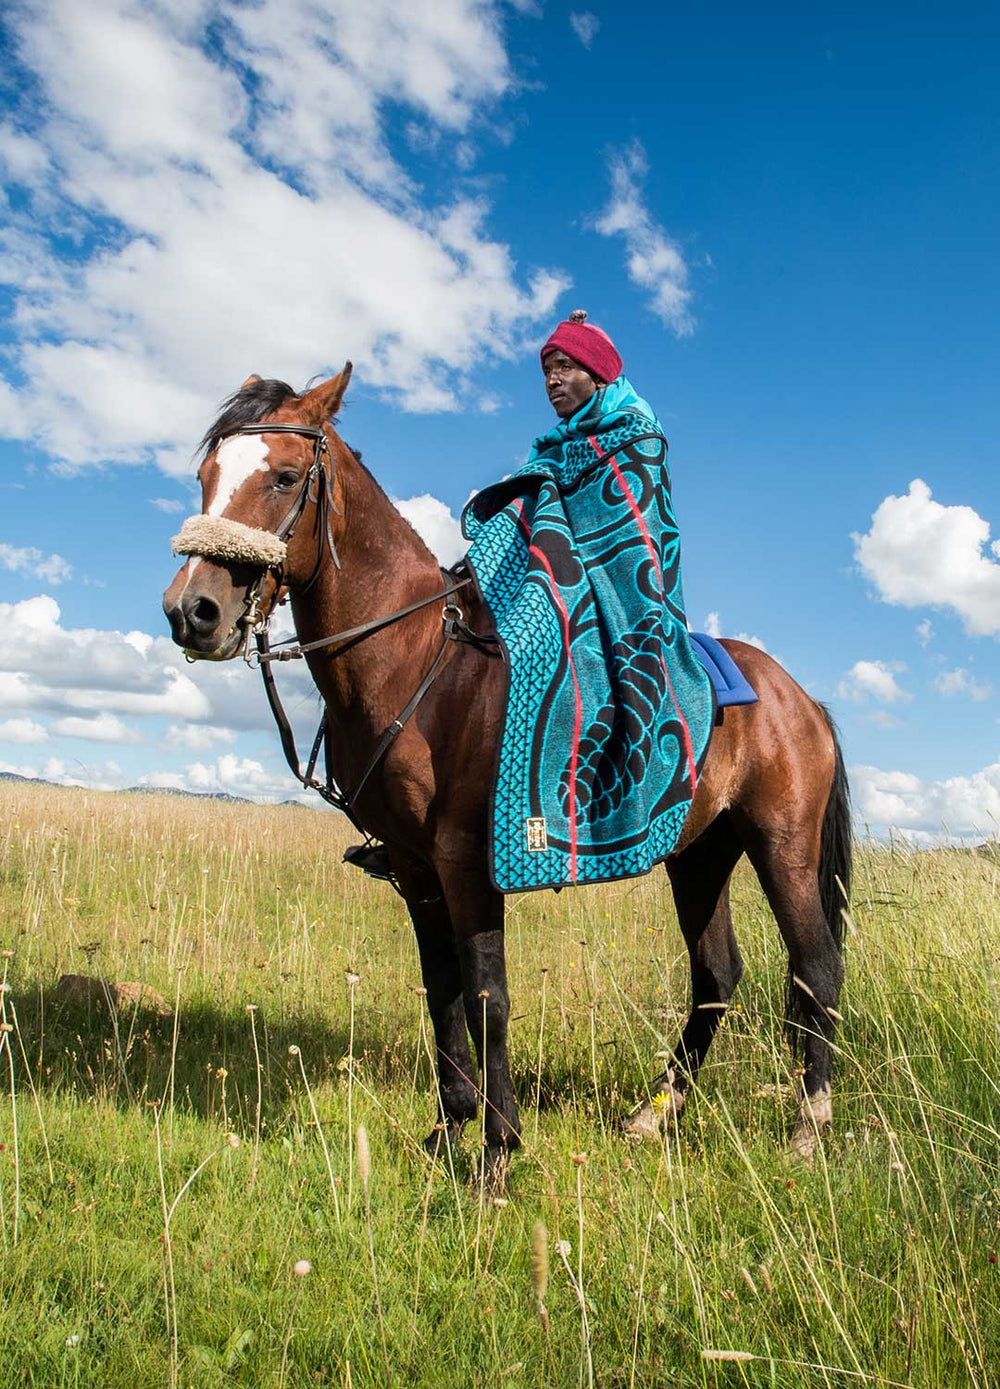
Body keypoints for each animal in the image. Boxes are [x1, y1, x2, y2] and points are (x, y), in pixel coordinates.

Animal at [163, 363, 849, 1177]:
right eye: (205, 476)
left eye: (286, 476)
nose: (192, 611)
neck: (417, 660)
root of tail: (799, 697)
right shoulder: (414, 867)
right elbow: (442, 991)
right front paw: (449, 1126)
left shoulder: (467, 862)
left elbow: (488, 994)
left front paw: (497, 1151)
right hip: (701, 853)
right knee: (717, 973)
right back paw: (654, 1115)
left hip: (782, 843)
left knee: (815, 966)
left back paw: (810, 1126)